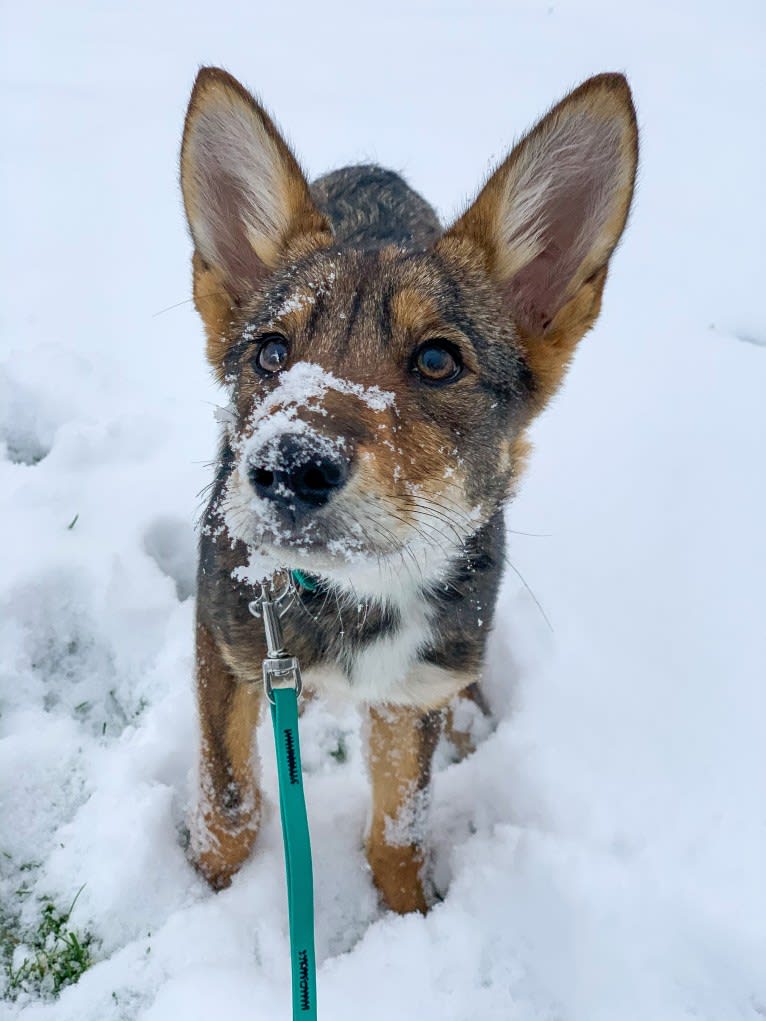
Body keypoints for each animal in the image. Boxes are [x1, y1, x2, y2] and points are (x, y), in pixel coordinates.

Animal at [181, 65, 641, 910]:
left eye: (437, 360)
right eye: (270, 351)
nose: (289, 466)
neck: (357, 598)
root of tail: (376, 166)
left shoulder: (406, 693)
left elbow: (398, 829)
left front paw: (410, 913)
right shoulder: (225, 646)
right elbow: (228, 802)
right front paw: (208, 893)